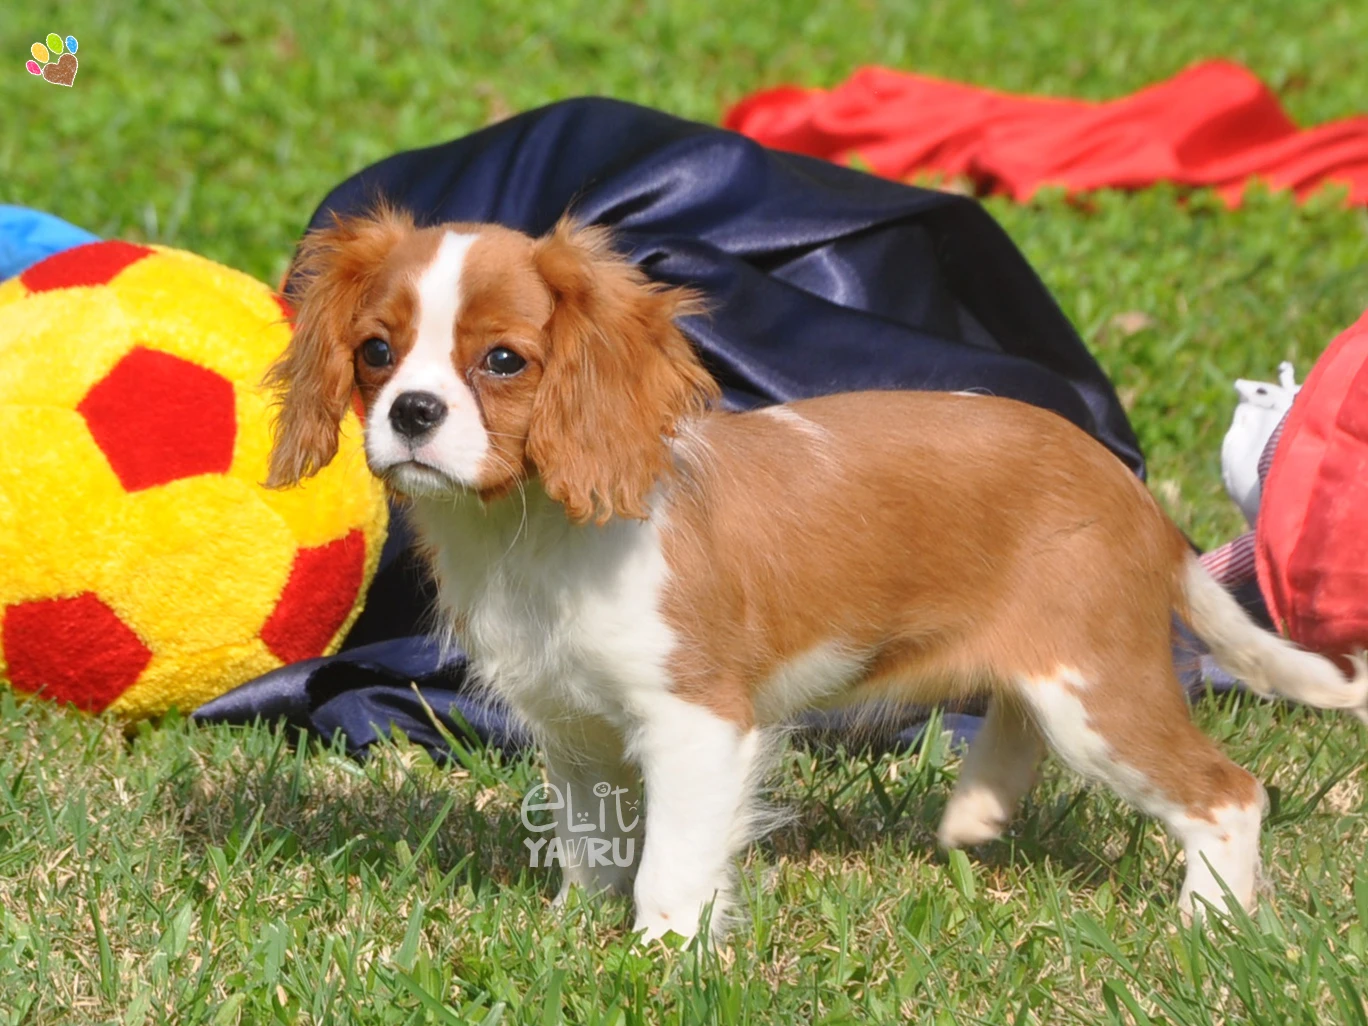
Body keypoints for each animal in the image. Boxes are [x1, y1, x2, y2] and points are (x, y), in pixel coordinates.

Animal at [266, 206, 1368, 941]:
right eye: (376, 352)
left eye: (502, 361)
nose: (410, 412)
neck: (531, 533)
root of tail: (1132, 494)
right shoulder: (574, 732)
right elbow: (594, 842)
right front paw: (577, 927)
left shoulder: (698, 719)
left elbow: (672, 861)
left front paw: (663, 957)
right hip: (1060, 678)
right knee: (1019, 718)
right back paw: (977, 812)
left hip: (1099, 690)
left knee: (1227, 793)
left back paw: (1211, 923)